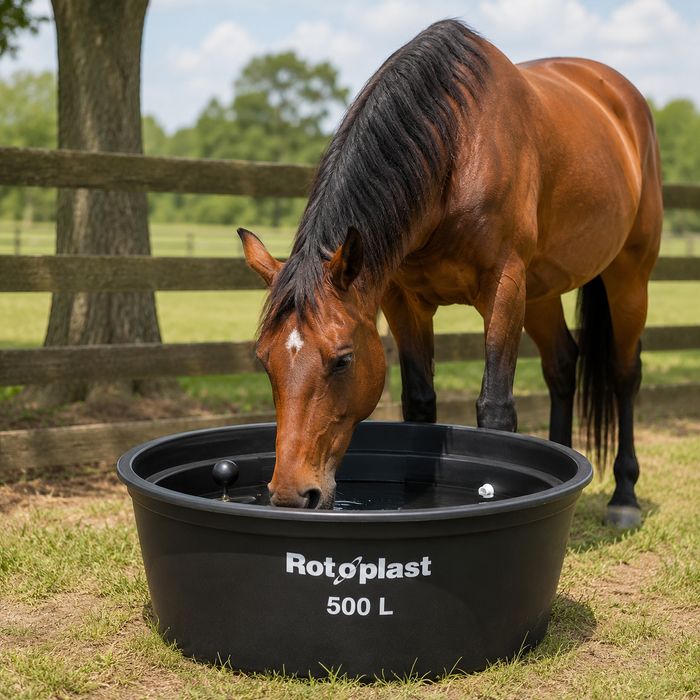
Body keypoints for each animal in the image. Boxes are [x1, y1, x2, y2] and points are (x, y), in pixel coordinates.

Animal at [238, 20, 662, 526]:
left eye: (342, 360)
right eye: (264, 359)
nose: (290, 495)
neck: (457, 149)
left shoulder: (505, 288)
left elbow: (496, 409)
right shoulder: (402, 300)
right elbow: (420, 404)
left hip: (629, 275)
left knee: (624, 372)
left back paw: (624, 496)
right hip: (541, 292)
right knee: (563, 365)